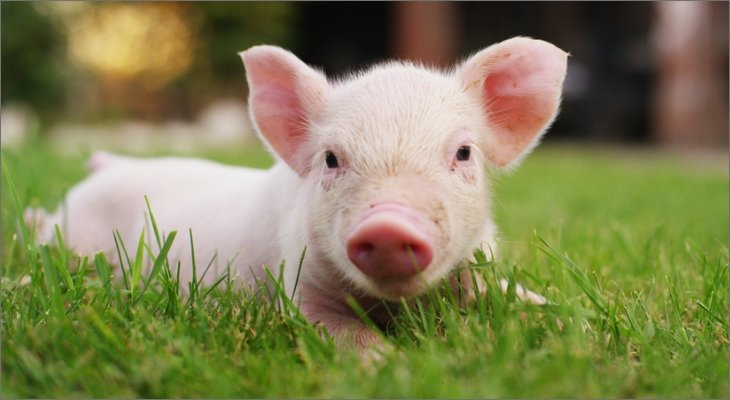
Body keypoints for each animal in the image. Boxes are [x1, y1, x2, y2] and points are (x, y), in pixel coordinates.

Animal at [26, 37, 567, 347]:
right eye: (330, 158)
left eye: (464, 153)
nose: (388, 223)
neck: (393, 305)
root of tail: (109, 164)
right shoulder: (298, 284)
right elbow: (345, 335)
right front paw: (389, 363)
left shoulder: (478, 267)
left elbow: (517, 298)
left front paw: (564, 323)